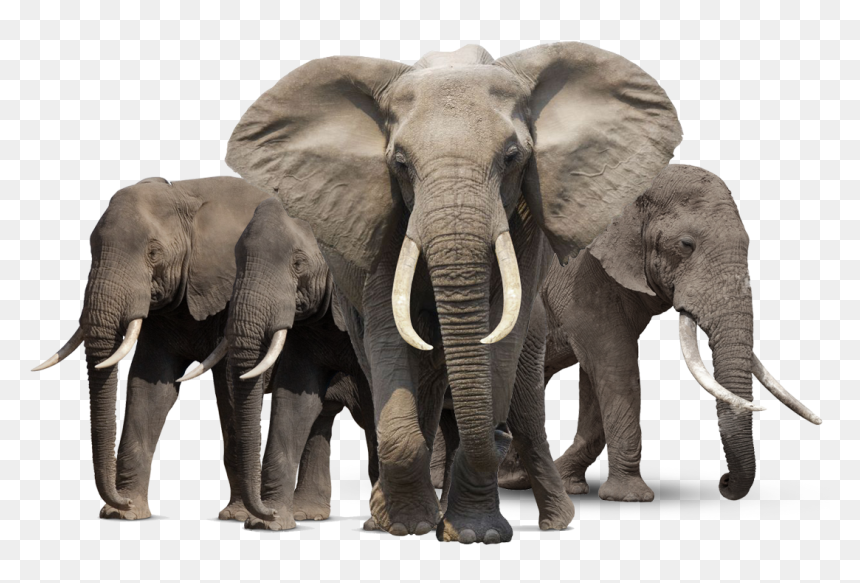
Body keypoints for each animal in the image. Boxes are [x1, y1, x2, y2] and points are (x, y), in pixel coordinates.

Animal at [32, 176, 269, 520]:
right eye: (91, 249)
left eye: (154, 253)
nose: (120, 501)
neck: (188, 194)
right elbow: (150, 387)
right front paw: (123, 513)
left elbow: (231, 385)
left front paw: (237, 516)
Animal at [185, 198, 379, 531]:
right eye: (236, 263)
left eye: (298, 264)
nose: (266, 512)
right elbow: (294, 403)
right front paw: (270, 523)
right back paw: (307, 514)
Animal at [225, 42, 682, 543]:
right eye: (400, 164)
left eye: (512, 157)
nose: (498, 434)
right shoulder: (384, 218)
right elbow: (388, 333)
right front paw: (409, 526)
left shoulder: (526, 225)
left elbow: (500, 335)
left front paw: (474, 534)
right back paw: (389, 518)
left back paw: (550, 521)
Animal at [431, 164, 822, 501]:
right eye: (686, 245)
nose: (725, 483)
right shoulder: (580, 274)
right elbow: (615, 367)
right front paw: (631, 498)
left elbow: (595, 381)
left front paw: (569, 484)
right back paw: (443, 483)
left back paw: (511, 480)